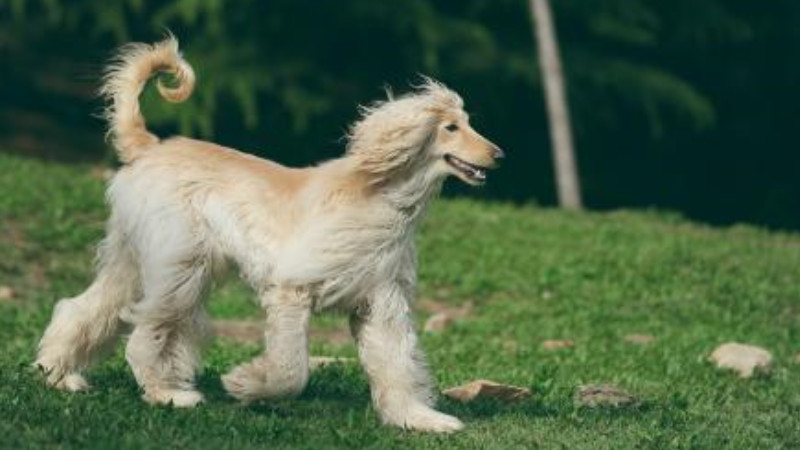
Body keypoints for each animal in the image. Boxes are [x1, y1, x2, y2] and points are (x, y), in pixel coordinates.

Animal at [37, 37, 504, 432]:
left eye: (468, 123)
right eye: (450, 128)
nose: (499, 154)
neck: (383, 198)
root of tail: (149, 146)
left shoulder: (380, 302)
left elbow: (396, 361)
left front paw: (418, 418)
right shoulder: (291, 291)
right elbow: (291, 370)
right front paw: (245, 384)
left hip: (138, 256)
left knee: (85, 308)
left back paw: (58, 374)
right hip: (180, 263)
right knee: (145, 333)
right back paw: (167, 393)